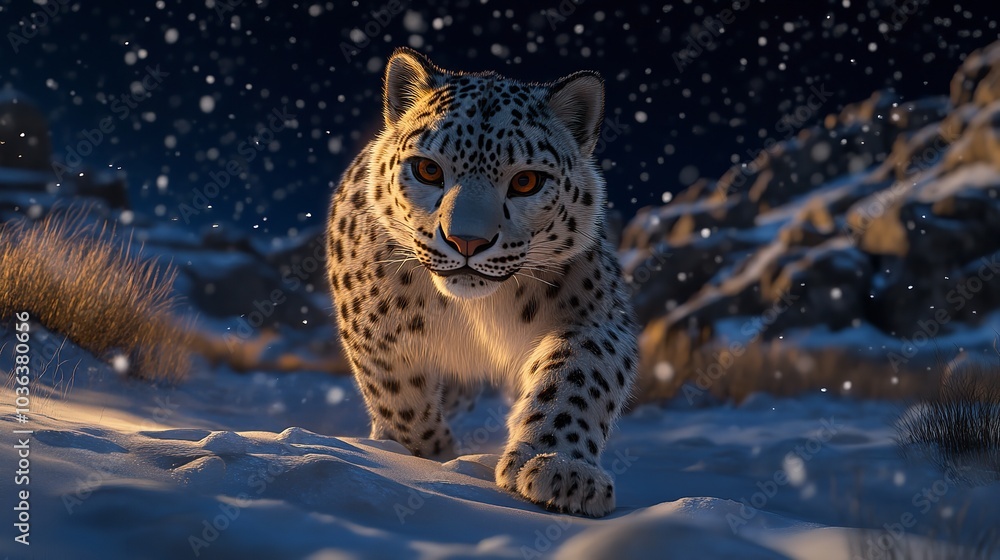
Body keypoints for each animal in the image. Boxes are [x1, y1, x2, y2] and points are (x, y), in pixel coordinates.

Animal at [326, 48, 638, 517]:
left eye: (526, 180)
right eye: (427, 170)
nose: (466, 240)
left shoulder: (597, 312)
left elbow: (579, 377)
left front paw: (560, 468)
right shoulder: (371, 321)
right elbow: (399, 396)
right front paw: (427, 455)